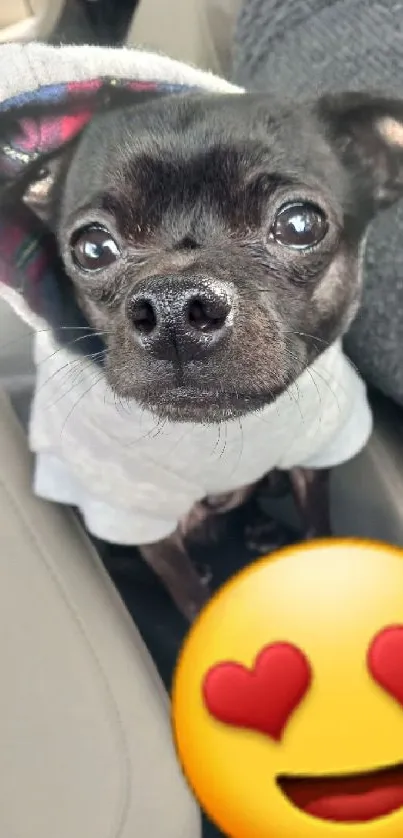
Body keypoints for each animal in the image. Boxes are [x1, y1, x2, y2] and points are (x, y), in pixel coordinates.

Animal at [16, 88, 403, 620]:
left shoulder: (312, 461)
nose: (175, 306)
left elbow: (317, 526)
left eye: (300, 224)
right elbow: (186, 592)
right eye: (92, 247)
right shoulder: (140, 521)